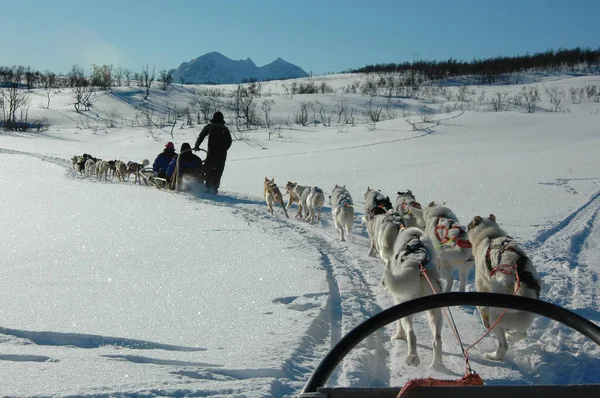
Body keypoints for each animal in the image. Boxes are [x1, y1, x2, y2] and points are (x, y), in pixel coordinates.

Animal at [382, 227, 442, 370]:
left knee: (411, 334)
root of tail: (418, 264)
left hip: (406, 307)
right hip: (436, 313)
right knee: (437, 339)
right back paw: (437, 365)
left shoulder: (397, 300)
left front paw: (398, 336)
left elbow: (399, 325)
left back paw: (413, 358)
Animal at [466, 216, 540, 362]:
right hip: (521, 317)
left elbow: (481, 309)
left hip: (496, 316)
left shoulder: (482, 285)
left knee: (503, 345)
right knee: (522, 333)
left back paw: (492, 355)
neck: (490, 235)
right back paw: (511, 336)